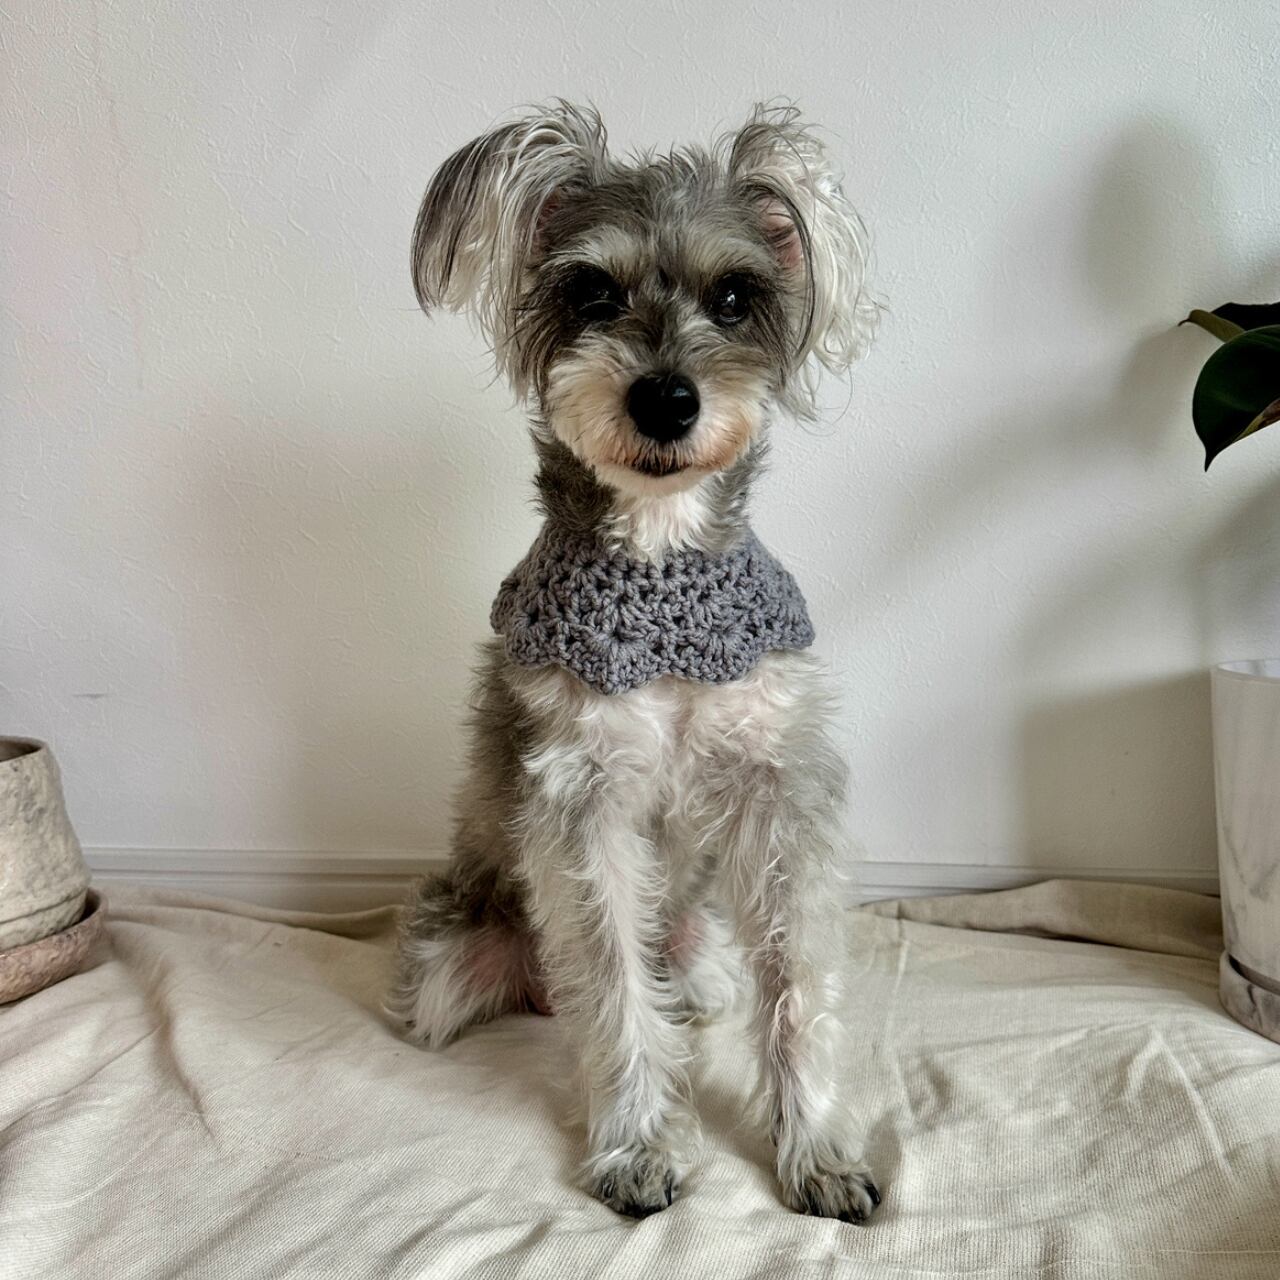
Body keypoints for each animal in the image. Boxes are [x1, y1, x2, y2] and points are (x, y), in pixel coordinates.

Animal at [388, 101, 881, 1223]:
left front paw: (819, 1150)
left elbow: (798, 987)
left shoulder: (777, 786)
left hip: (701, 944)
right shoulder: (583, 799)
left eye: (735, 295)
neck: (660, 572)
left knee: (693, 988)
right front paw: (639, 1147)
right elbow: (612, 989)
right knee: (540, 992)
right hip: (448, 957)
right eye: (592, 292)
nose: (664, 400)